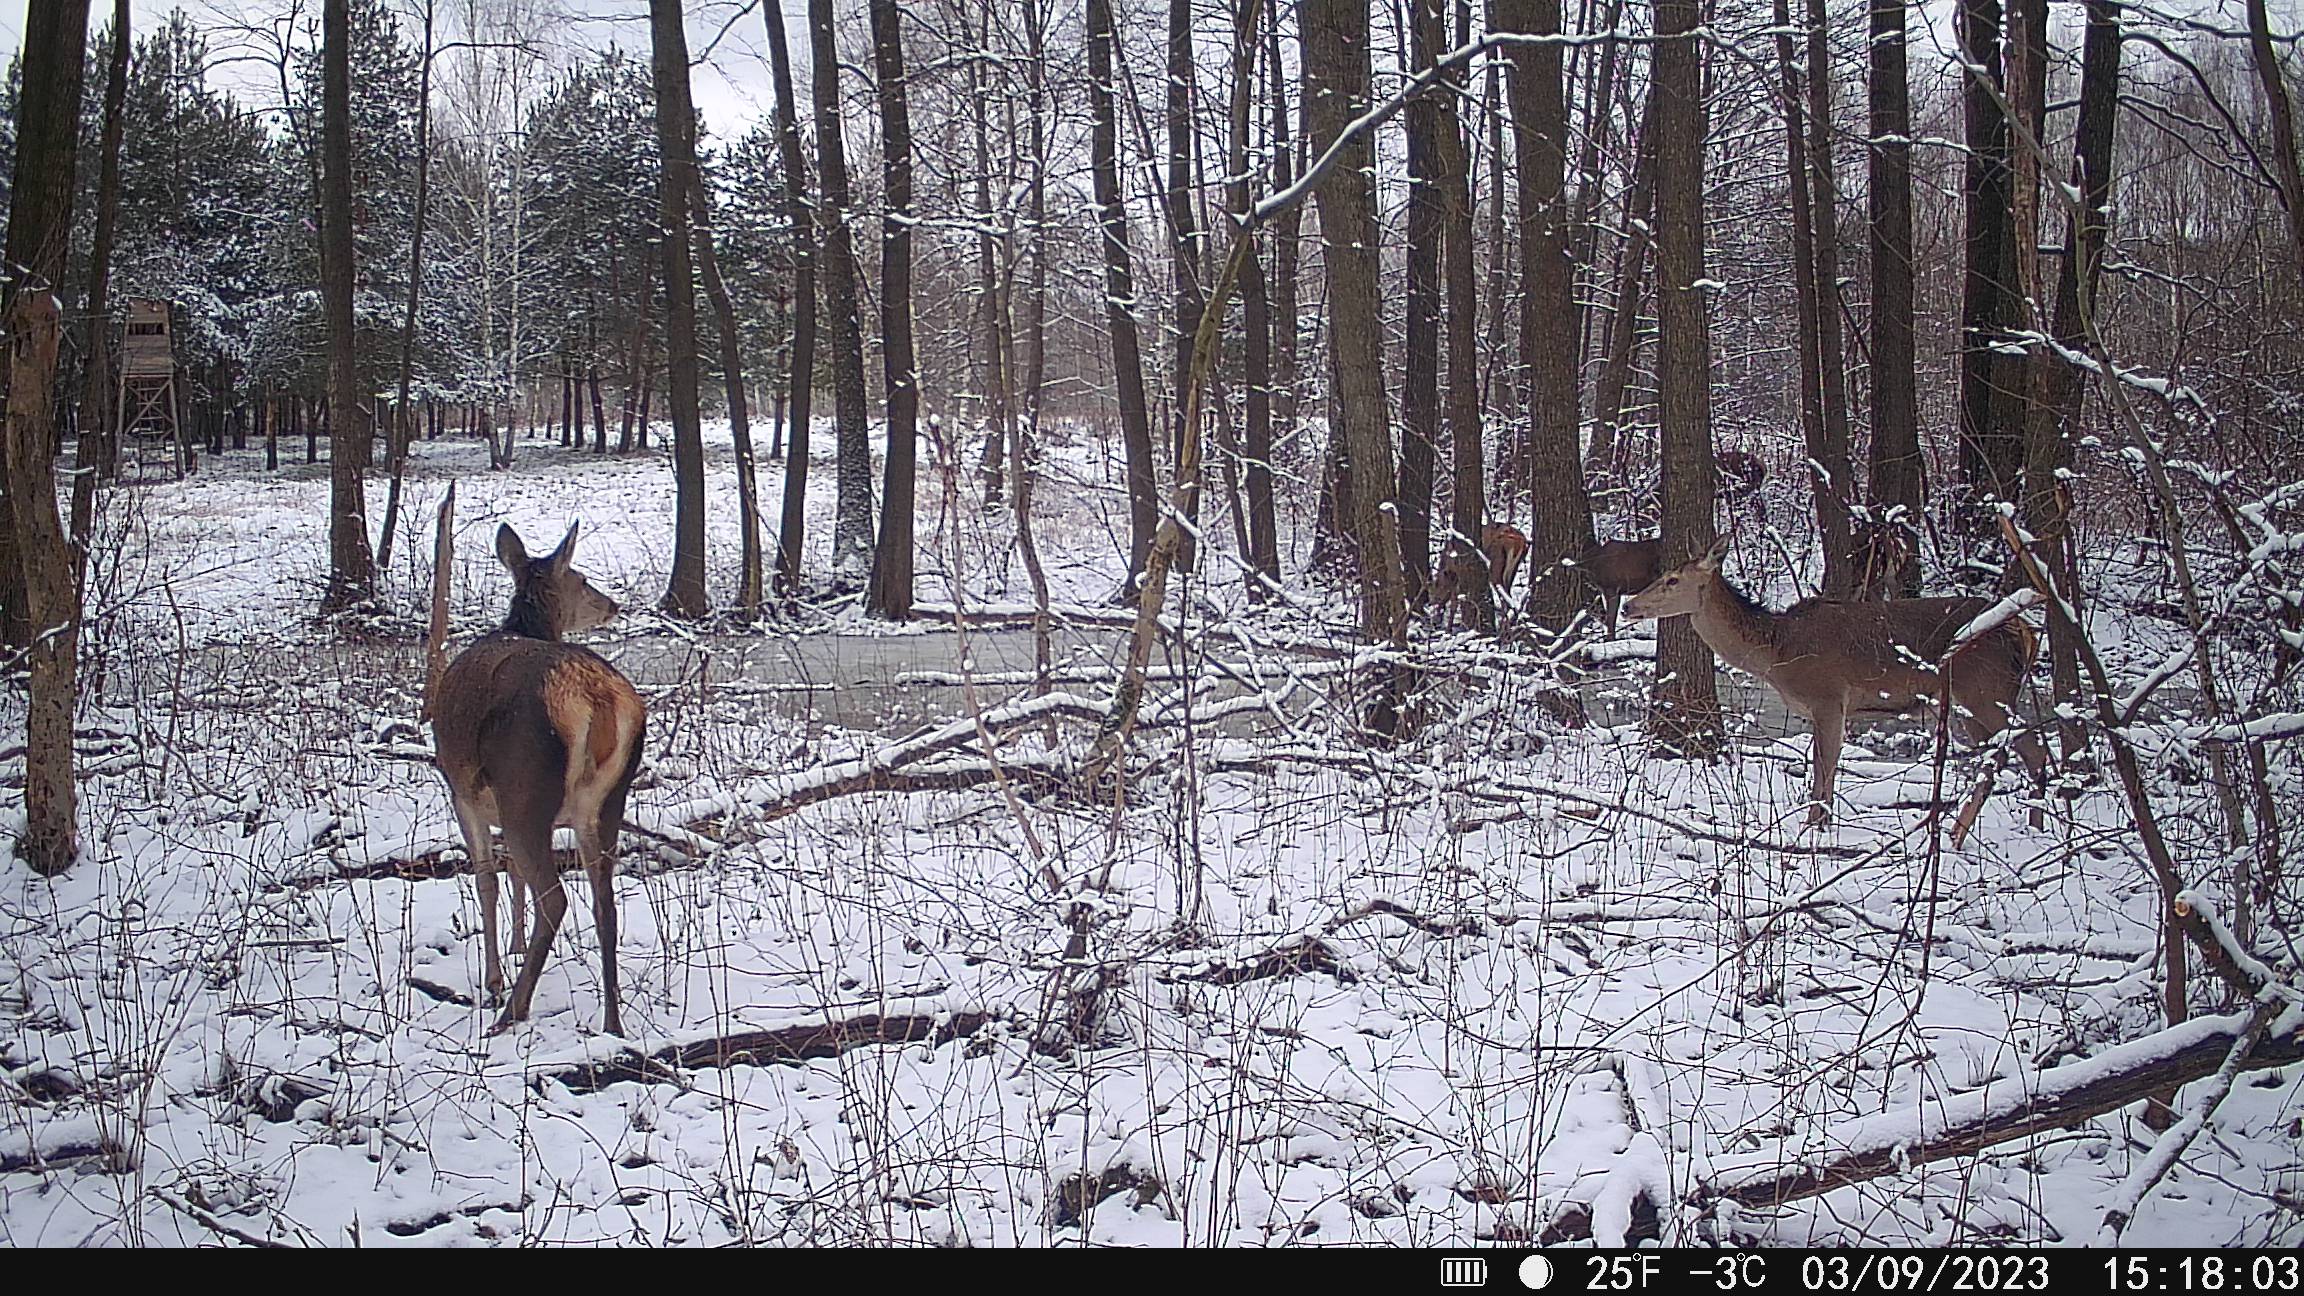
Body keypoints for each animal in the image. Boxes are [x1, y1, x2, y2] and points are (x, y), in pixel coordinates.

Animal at [433, 518, 645, 1033]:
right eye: (584, 579)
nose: (612, 604)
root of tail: (595, 698)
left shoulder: (461, 792)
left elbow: (487, 879)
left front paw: (493, 978)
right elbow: (513, 874)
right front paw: (513, 948)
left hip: (525, 786)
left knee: (557, 899)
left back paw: (512, 1009)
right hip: (606, 802)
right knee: (604, 901)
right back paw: (612, 1022)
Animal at [1622, 535, 2055, 839]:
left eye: (1672, 579)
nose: (1629, 605)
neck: (1777, 653)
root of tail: (2026, 632)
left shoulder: (1828, 696)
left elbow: (1823, 768)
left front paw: (1814, 829)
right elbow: (1826, 770)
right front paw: (1821, 828)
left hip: (1986, 689)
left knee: (2033, 752)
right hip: (1975, 702)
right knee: (2000, 758)